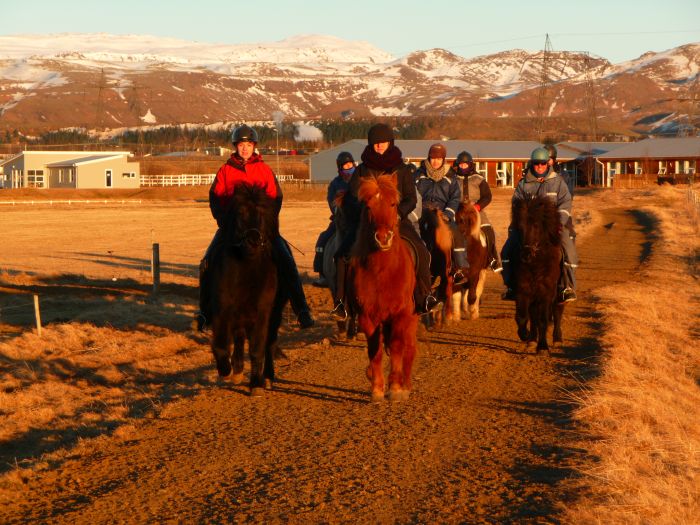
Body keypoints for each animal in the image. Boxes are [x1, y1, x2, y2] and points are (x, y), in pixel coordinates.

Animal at [208, 183, 288, 392]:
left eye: (262, 213)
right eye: (240, 213)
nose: (253, 240)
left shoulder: (262, 312)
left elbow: (257, 347)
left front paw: (256, 384)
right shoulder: (222, 310)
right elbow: (221, 344)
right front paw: (226, 371)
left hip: (273, 315)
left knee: (269, 342)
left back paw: (267, 377)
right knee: (239, 337)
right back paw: (237, 371)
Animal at [348, 173, 418, 402]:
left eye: (393, 203)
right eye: (368, 206)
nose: (383, 237)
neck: (382, 271)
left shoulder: (400, 313)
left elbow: (396, 347)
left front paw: (395, 388)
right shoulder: (367, 316)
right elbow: (375, 350)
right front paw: (377, 388)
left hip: (412, 317)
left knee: (409, 348)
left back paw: (406, 384)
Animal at [512, 192, 568, 352]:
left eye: (536, 225)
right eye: (520, 226)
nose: (526, 255)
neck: (535, 264)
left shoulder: (546, 293)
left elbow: (544, 320)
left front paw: (543, 347)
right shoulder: (523, 291)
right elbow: (522, 316)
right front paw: (525, 336)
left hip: (558, 295)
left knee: (557, 312)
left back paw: (557, 339)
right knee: (533, 316)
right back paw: (532, 340)